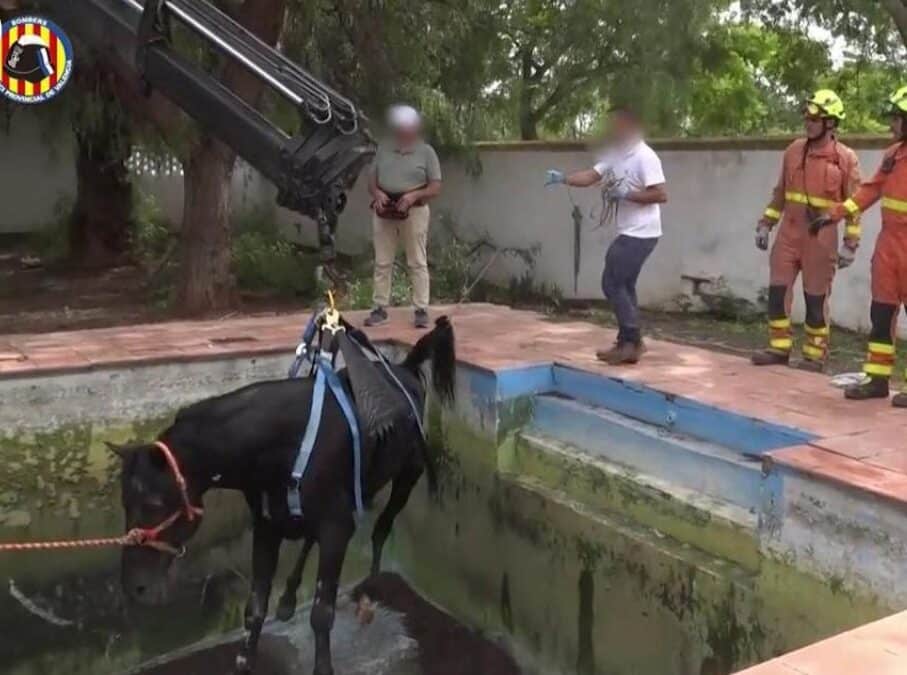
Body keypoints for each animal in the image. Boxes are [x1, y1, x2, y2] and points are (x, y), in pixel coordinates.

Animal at [111, 318, 458, 675]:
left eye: (153, 503)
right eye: (125, 502)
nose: (135, 587)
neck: (286, 442)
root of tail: (406, 368)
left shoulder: (336, 527)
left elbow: (322, 612)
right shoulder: (267, 526)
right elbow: (255, 606)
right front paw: (246, 659)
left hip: (407, 474)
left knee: (382, 527)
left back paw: (372, 581)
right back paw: (290, 597)